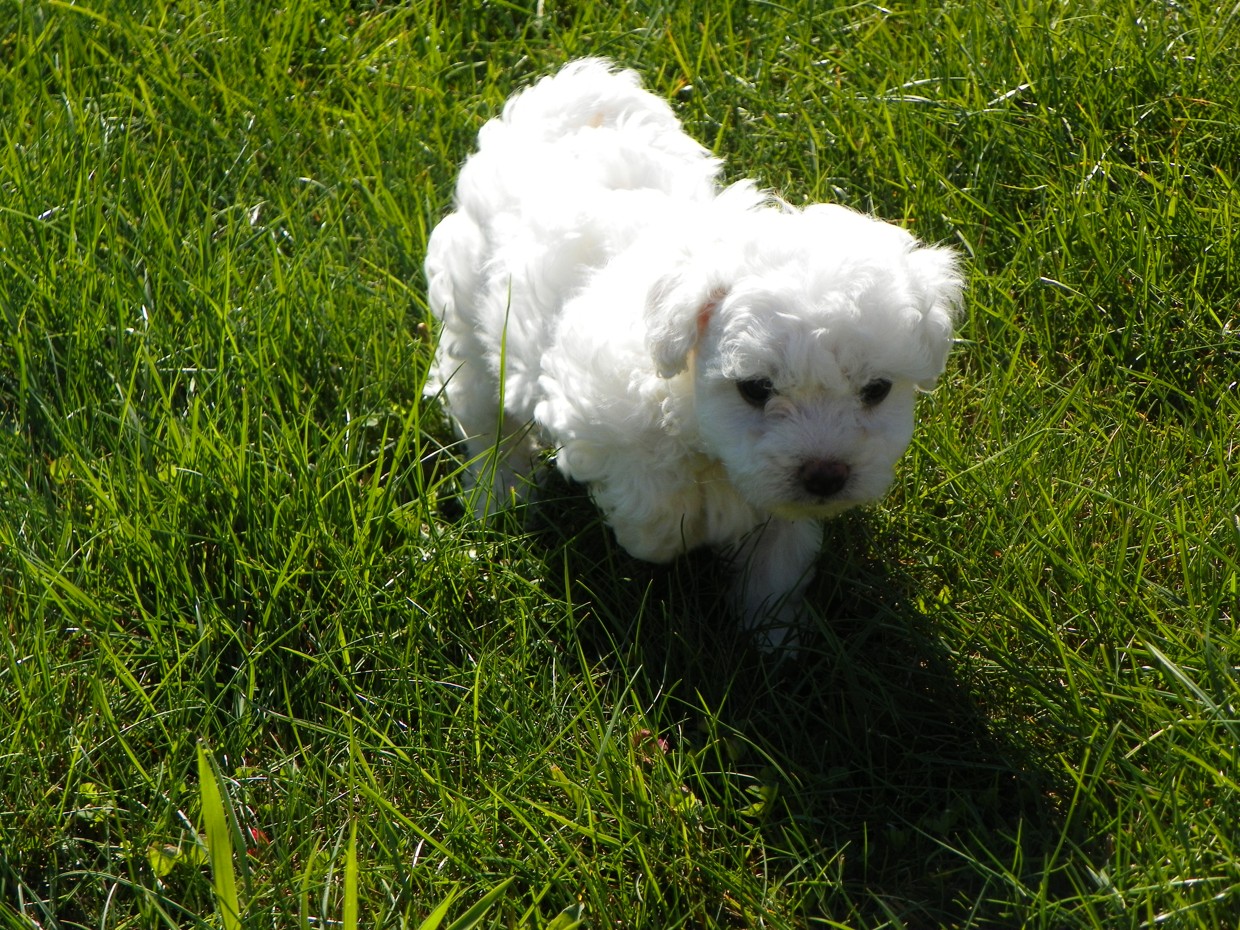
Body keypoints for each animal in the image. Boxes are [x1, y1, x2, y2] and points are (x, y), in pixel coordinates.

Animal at [425, 59, 962, 648]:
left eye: (877, 391)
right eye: (755, 389)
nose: (825, 475)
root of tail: (566, 102)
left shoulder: (784, 509)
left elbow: (778, 560)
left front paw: (775, 637)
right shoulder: (591, 410)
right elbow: (653, 515)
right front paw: (679, 533)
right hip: (470, 329)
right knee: (486, 424)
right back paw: (496, 499)